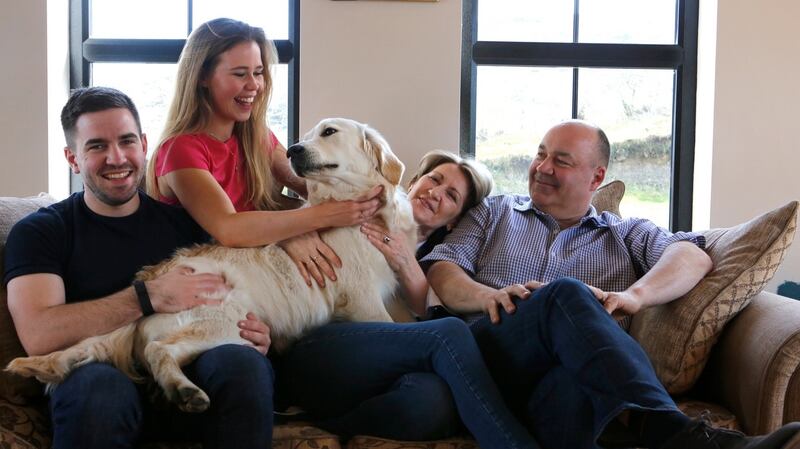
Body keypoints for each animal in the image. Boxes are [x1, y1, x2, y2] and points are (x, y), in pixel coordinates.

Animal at [6, 117, 416, 412]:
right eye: (307, 134)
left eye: (328, 132)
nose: (292, 150)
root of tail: (145, 287)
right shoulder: (364, 300)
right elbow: (402, 327)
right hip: (225, 323)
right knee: (158, 351)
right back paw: (185, 390)